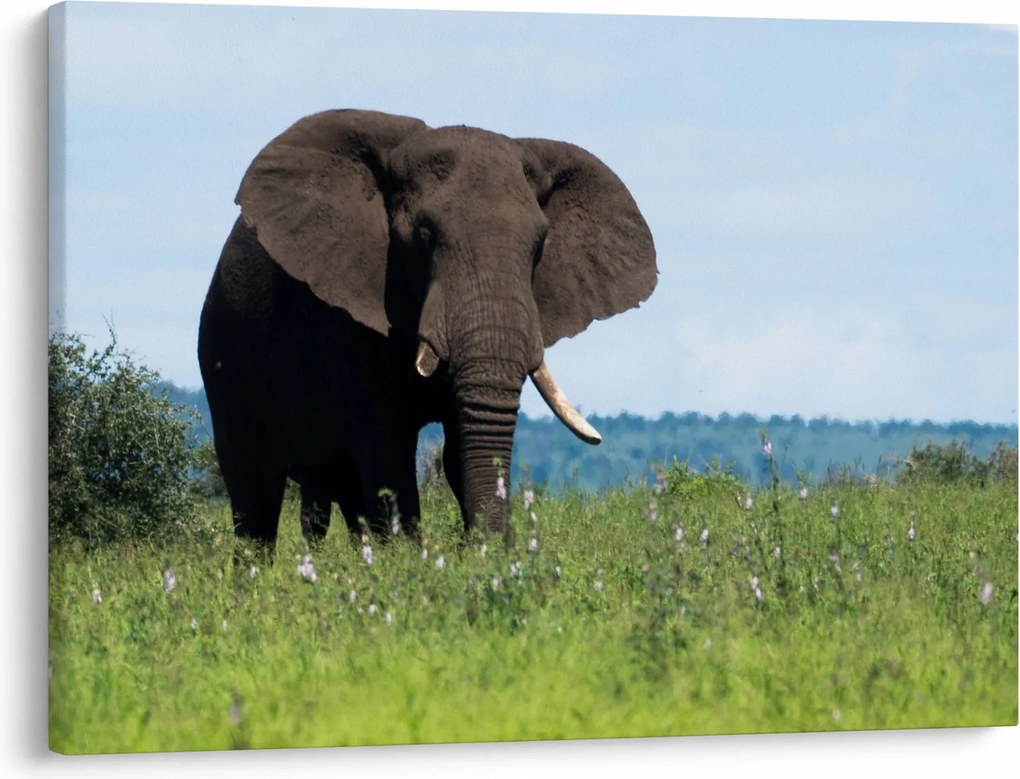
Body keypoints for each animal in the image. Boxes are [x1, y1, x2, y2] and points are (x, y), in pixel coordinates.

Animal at [197, 109, 656, 551]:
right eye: (424, 234)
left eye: (540, 245)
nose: (490, 547)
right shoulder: (343, 319)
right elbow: (387, 448)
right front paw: (411, 564)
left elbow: (458, 447)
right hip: (223, 350)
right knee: (254, 490)